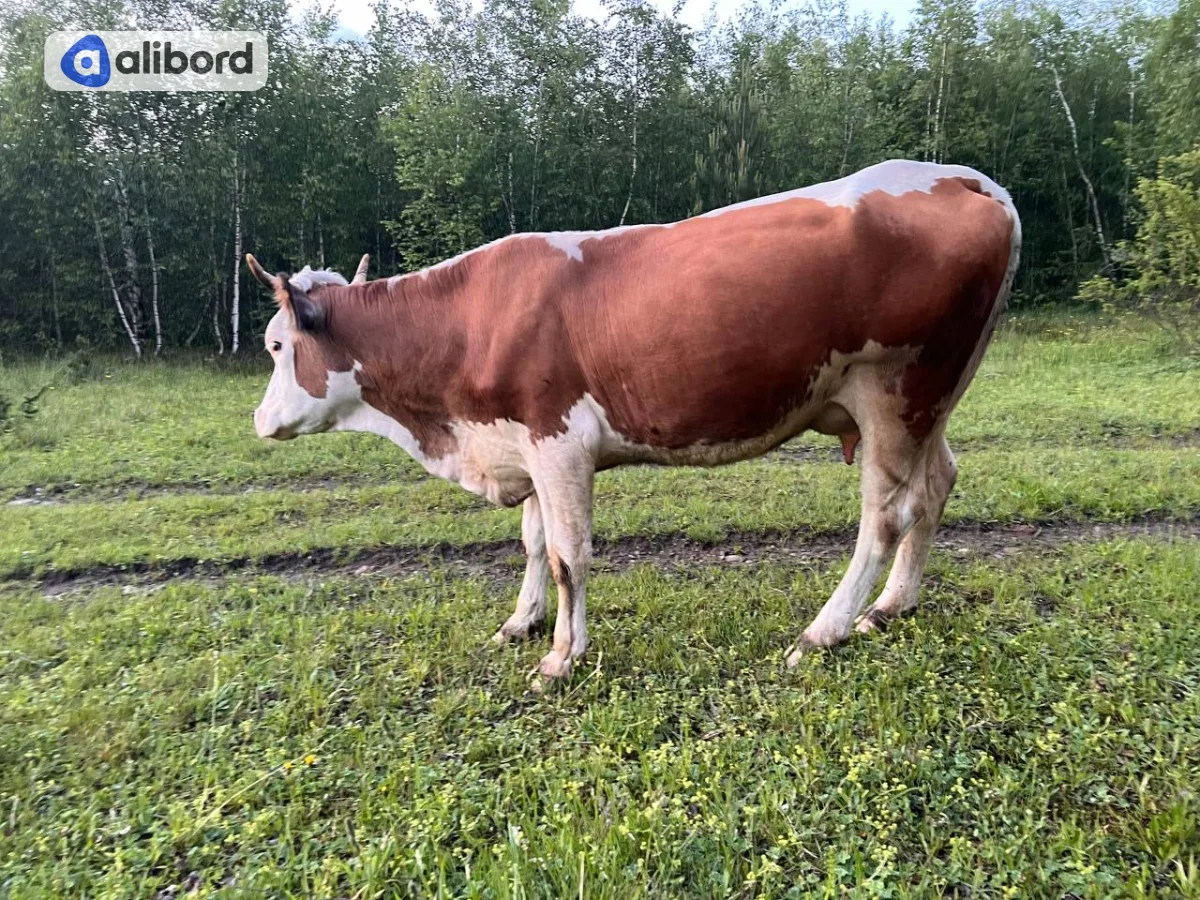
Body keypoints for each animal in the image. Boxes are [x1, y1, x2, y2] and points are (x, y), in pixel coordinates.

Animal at [247, 159, 1021, 682]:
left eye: (276, 345)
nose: (258, 420)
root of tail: (961, 177)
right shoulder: (526, 441)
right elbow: (533, 543)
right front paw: (521, 623)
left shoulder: (559, 441)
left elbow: (568, 554)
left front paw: (562, 657)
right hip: (932, 397)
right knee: (936, 486)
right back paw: (893, 605)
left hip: (895, 385)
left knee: (885, 514)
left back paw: (823, 631)